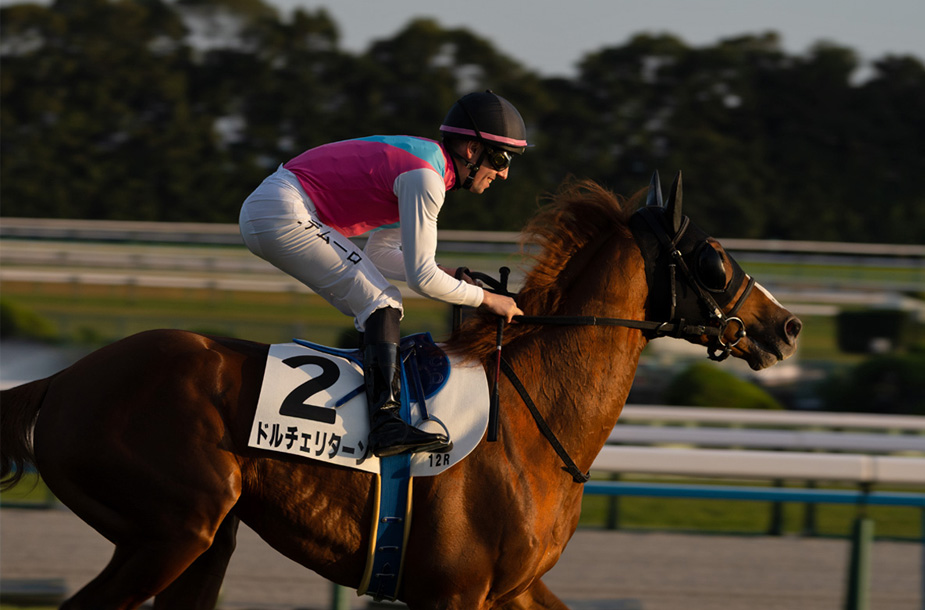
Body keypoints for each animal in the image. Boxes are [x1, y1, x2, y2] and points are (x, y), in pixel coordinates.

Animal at [1, 174, 801, 609]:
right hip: (171, 528)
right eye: (712, 258)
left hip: (205, 538)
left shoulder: (510, 588)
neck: (533, 425)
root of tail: (60, 381)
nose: (786, 326)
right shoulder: (451, 592)